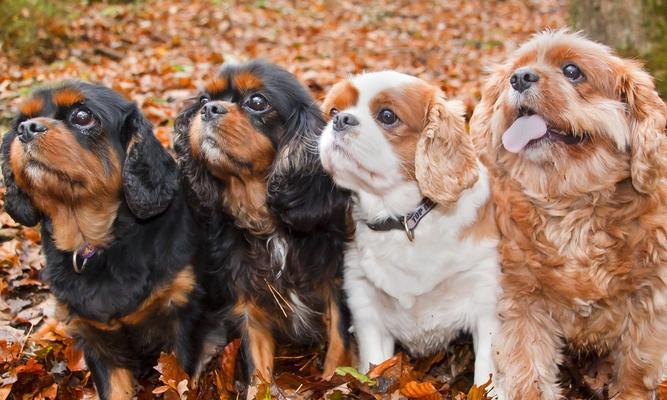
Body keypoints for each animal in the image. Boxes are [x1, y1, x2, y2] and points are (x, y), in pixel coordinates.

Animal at [175, 60, 352, 384]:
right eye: (204, 99)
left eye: (257, 102)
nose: (209, 109)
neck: (268, 224)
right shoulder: (248, 306)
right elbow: (257, 368)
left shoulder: (336, 280)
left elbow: (339, 343)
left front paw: (337, 381)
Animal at [318, 70, 500, 390]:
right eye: (334, 111)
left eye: (387, 115)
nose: (341, 120)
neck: (403, 219)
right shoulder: (366, 308)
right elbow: (373, 365)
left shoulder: (486, 300)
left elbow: (486, 371)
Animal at [470, 29, 667, 398]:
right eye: (512, 72)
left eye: (572, 71)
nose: (520, 78)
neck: (569, 202)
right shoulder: (520, 301)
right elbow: (527, 372)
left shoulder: (652, 300)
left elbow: (636, 369)